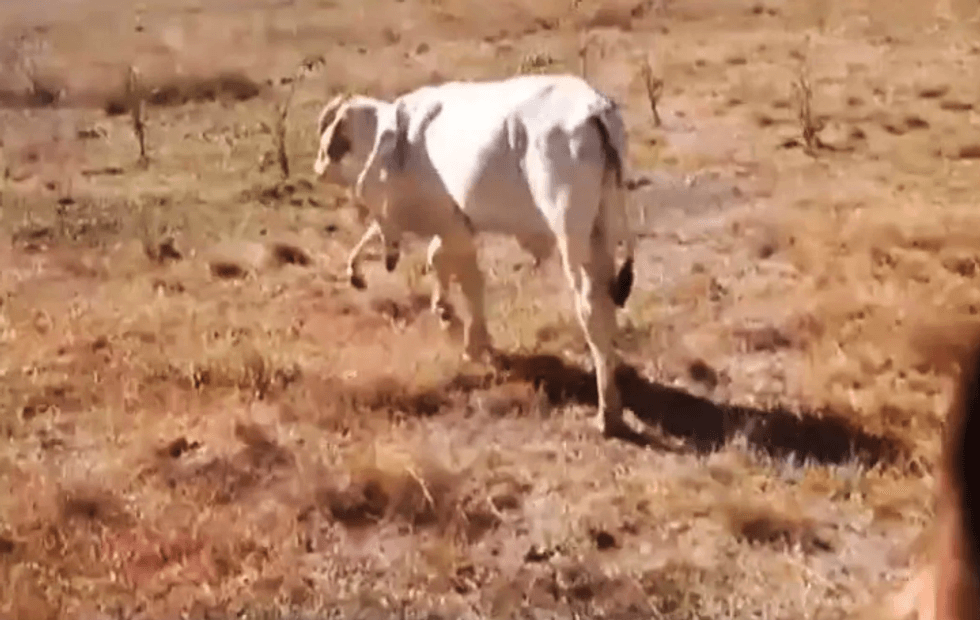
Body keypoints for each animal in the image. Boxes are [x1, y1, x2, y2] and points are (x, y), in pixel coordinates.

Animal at [312, 74, 637, 438]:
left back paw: (607, 414)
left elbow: (469, 282)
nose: (318, 168)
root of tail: (594, 107)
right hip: (602, 231)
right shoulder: (453, 224)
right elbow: (439, 260)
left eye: (332, 135)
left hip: (573, 237)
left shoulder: (452, 226)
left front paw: (473, 344)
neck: (401, 139)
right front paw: (444, 312)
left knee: (591, 309)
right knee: (607, 304)